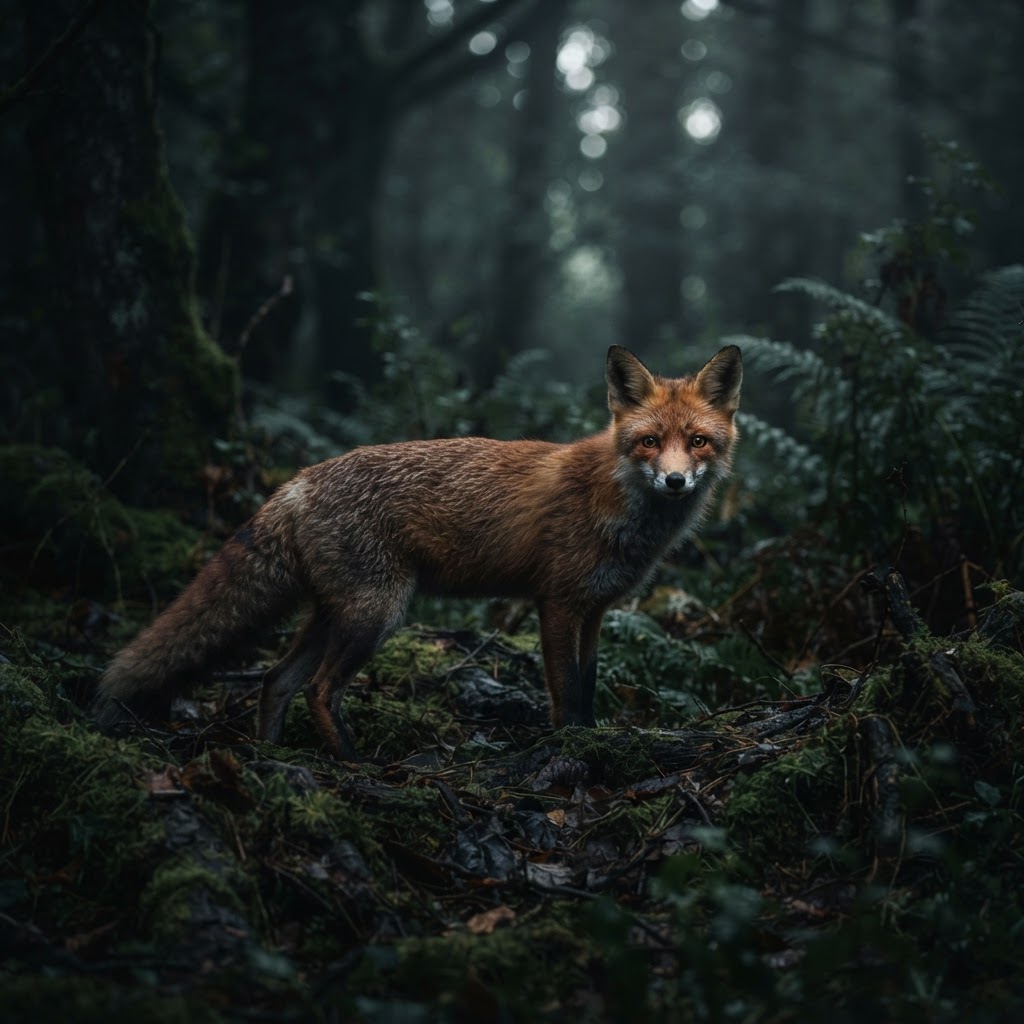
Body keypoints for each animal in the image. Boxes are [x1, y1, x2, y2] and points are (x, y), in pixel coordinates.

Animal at [94, 345, 742, 759]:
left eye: (698, 442)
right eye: (649, 441)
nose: (676, 482)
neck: (617, 501)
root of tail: (298, 481)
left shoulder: (595, 610)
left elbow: (587, 684)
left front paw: (592, 739)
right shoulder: (556, 603)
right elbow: (564, 692)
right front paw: (568, 752)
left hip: (334, 614)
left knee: (275, 681)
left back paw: (269, 759)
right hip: (377, 614)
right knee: (318, 690)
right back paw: (353, 763)